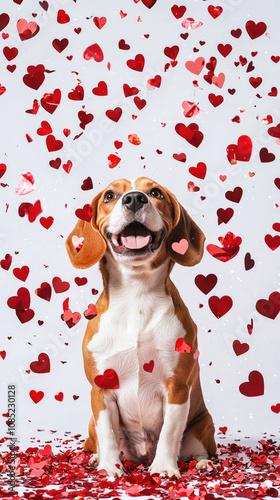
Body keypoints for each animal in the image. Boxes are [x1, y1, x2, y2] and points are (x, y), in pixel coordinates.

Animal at [66, 178, 217, 478]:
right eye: (110, 196)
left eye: (155, 193)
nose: (134, 199)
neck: (137, 293)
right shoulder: (100, 390)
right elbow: (108, 434)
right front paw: (110, 468)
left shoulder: (177, 387)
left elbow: (170, 433)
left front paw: (164, 468)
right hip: (90, 423)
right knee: (97, 440)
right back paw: (95, 459)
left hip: (204, 424)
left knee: (197, 449)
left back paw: (202, 463)